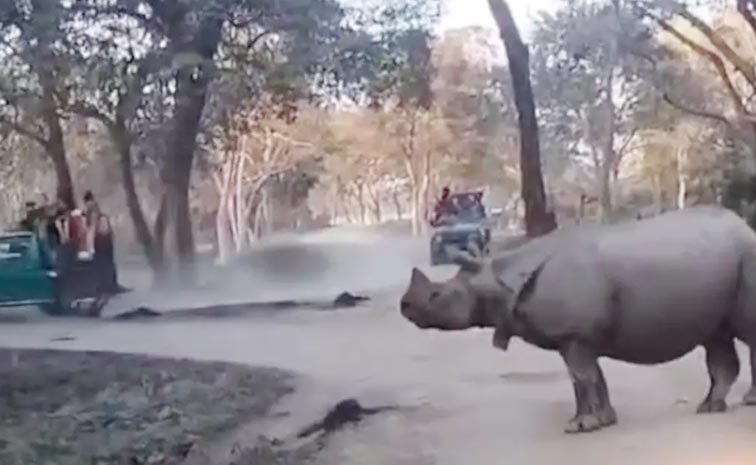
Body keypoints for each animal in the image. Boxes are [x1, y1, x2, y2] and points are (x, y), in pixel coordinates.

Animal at [400, 206, 756, 433]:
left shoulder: (572, 335)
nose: (405, 306)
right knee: (716, 337)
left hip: (746, 255)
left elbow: (581, 378)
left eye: (437, 296)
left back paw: (748, 402)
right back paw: (709, 407)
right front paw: (605, 420)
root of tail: (744, 225)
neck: (500, 281)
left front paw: (579, 426)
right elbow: (593, 377)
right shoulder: (580, 336)